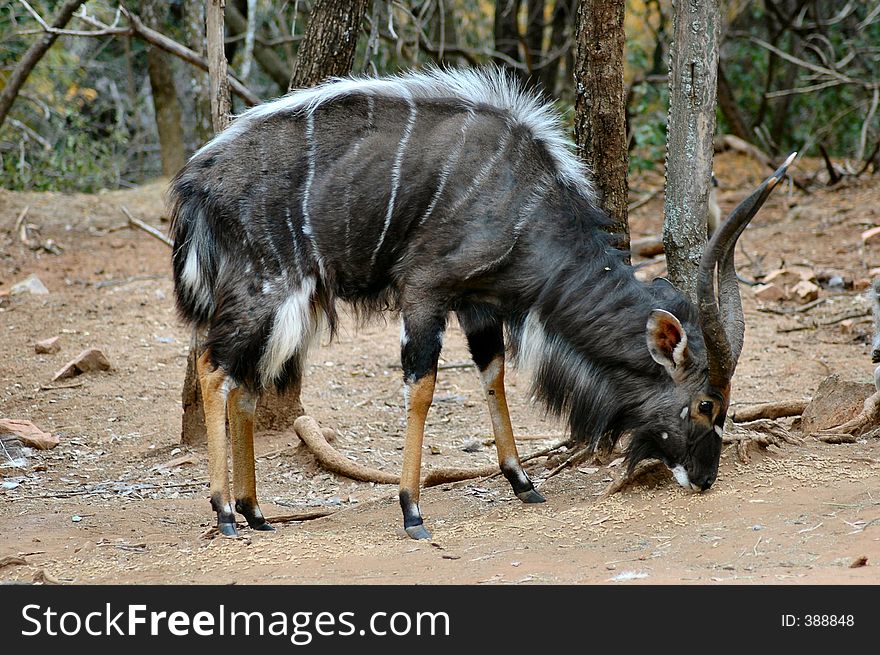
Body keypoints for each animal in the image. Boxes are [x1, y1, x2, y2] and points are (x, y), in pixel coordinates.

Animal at [168, 66, 796, 540]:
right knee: (213, 366)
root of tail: (198, 181)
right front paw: (412, 510)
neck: (524, 203)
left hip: (286, 307)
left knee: (245, 382)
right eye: (706, 405)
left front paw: (523, 483)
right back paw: (224, 513)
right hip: (268, 288)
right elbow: (422, 387)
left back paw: (255, 512)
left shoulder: (480, 305)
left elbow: (493, 375)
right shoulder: (424, 290)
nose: (706, 477)